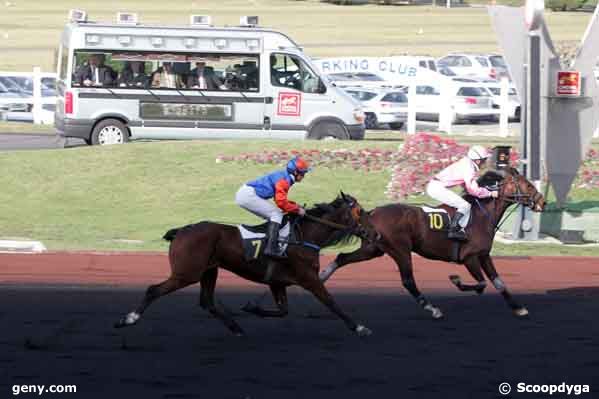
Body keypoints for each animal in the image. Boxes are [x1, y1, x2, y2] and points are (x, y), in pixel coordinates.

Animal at [114, 194, 372, 338]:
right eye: (360, 211)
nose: (374, 233)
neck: (303, 236)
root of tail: (183, 230)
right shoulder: (309, 278)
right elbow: (332, 303)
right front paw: (359, 328)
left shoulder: (277, 282)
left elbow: (283, 310)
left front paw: (252, 307)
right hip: (187, 273)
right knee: (154, 290)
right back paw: (128, 319)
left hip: (210, 270)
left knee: (207, 302)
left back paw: (236, 328)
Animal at [322, 168, 548, 318]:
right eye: (528, 184)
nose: (542, 202)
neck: (482, 215)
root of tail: (370, 214)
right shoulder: (469, 257)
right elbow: (482, 283)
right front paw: (456, 280)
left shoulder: (484, 255)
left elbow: (498, 282)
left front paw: (518, 307)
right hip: (400, 250)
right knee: (408, 281)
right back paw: (432, 309)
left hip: (373, 248)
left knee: (342, 258)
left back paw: (322, 276)